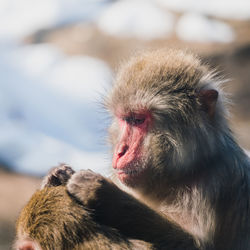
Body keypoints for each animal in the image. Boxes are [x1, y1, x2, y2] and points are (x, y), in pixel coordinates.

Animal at [16, 48, 250, 248]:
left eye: (138, 120)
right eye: (124, 119)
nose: (121, 150)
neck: (179, 176)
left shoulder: (220, 182)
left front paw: (103, 195)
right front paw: (56, 175)